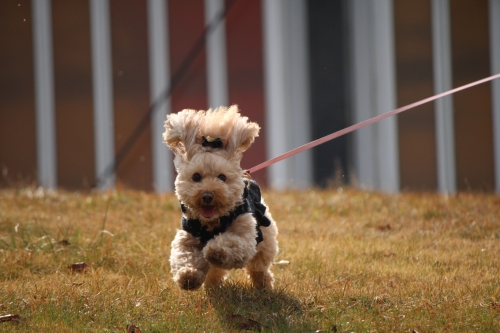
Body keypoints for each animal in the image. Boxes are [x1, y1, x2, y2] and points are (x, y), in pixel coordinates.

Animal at [165, 105, 280, 290]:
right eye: (196, 177)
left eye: (222, 177)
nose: (207, 195)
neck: (212, 223)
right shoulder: (188, 237)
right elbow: (184, 255)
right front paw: (188, 276)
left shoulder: (245, 236)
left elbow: (230, 244)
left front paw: (215, 251)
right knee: (215, 272)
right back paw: (212, 285)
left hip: (265, 241)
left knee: (258, 267)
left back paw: (263, 286)